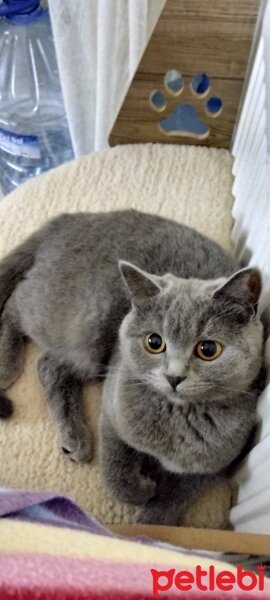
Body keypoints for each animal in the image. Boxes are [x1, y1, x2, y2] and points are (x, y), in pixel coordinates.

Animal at [0, 210, 264, 524]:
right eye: (154, 342)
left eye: (208, 349)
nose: (174, 376)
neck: (175, 419)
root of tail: (69, 218)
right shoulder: (113, 408)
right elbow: (116, 471)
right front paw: (142, 490)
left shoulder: (221, 460)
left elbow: (180, 493)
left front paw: (153, 518)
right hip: (83, 323)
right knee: (16, 304)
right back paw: (8, 364)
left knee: (49, 364)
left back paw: (73, 438)